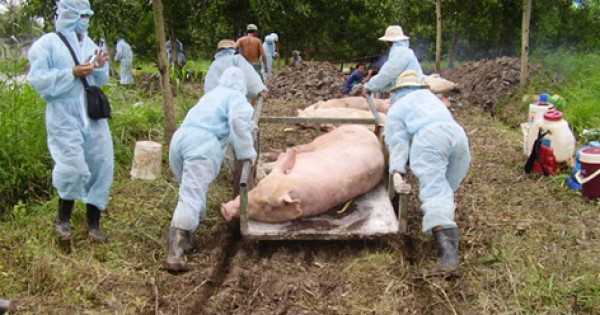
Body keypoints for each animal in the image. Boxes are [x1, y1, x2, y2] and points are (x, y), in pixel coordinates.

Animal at [220, 124, 384, 223]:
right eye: (258, 186)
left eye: (265, 206)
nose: (225, 208)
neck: (293, 182)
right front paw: (260, 171)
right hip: (321, 140)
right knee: (292, 150)